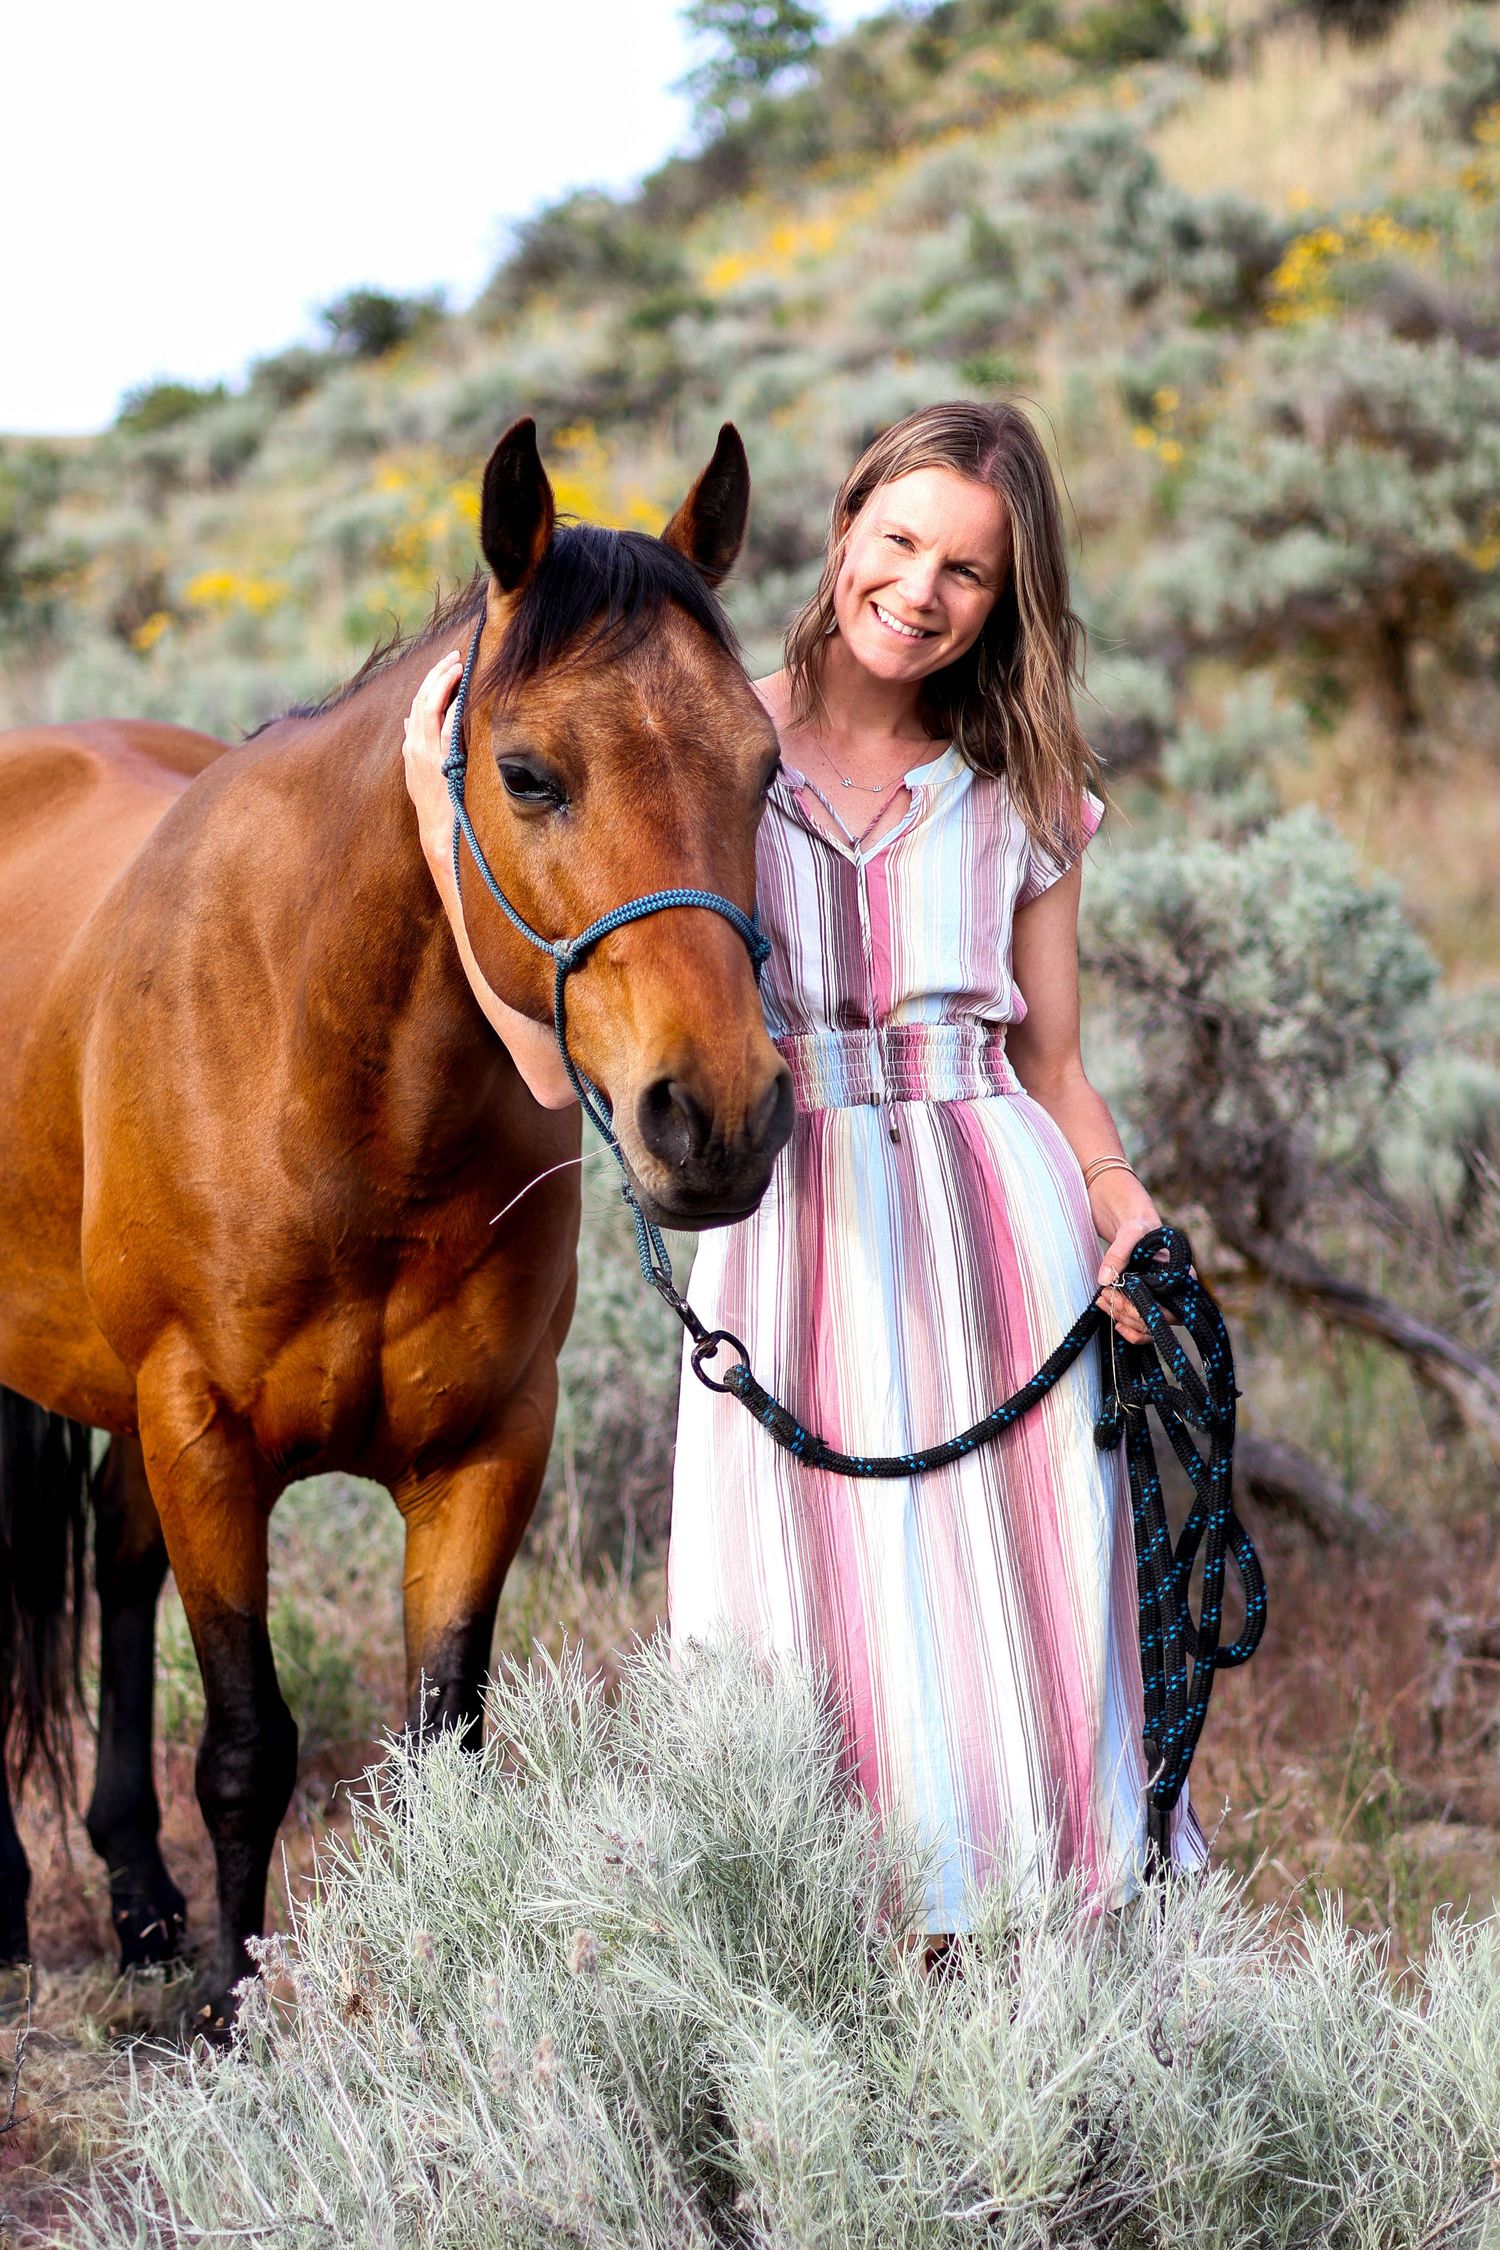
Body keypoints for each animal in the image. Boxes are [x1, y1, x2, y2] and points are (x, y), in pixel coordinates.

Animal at [0, 417, 792, 2025]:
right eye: (530, 773)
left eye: (765, 767)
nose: (722, 1114)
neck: (337, 1089)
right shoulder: (206, 1435)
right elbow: (249, 1749)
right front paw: (236, 2016)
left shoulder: (487, 1446)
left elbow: (442, 1754)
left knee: (114, 1558)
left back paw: (138, 1891)